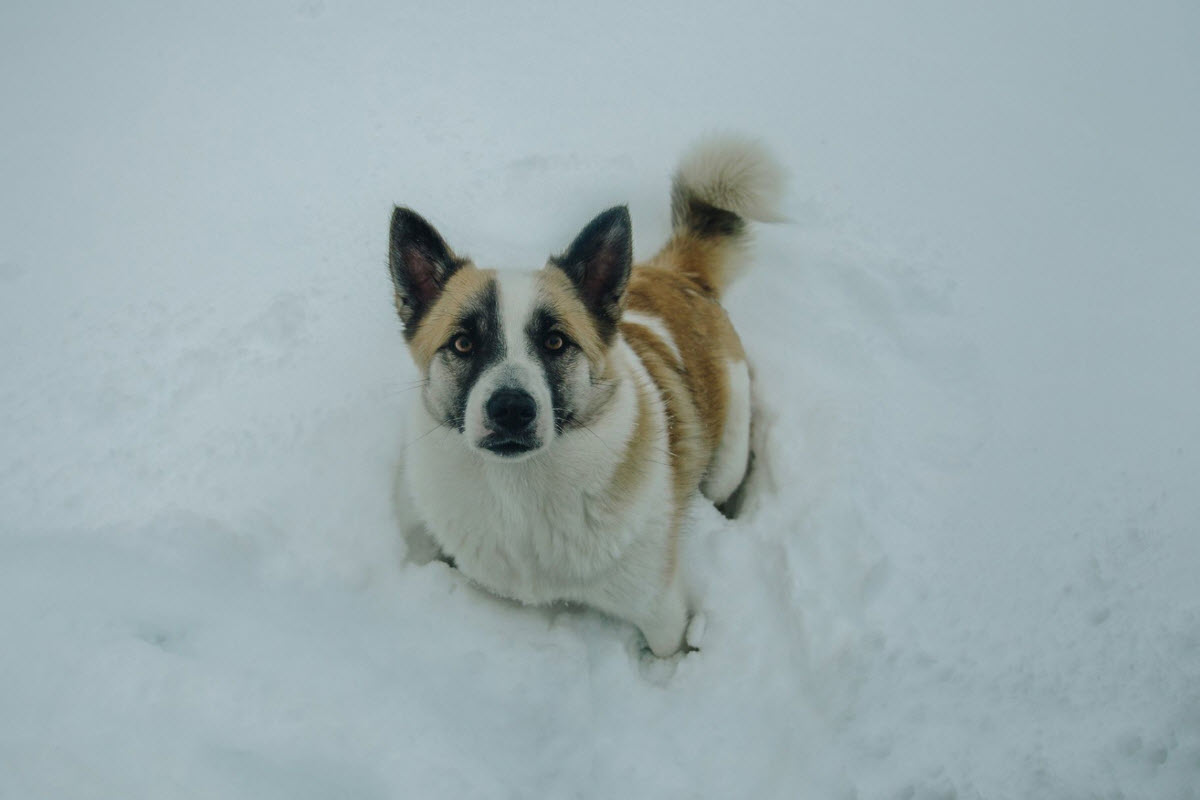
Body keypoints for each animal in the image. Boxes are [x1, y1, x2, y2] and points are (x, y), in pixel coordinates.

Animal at [388, 134, 787, 652]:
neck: (521, 493)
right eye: (462, 343)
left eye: (556, 341)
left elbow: (666, 649)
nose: (512, 409)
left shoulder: (661, 612)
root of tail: (677, 275)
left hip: (726, 458)